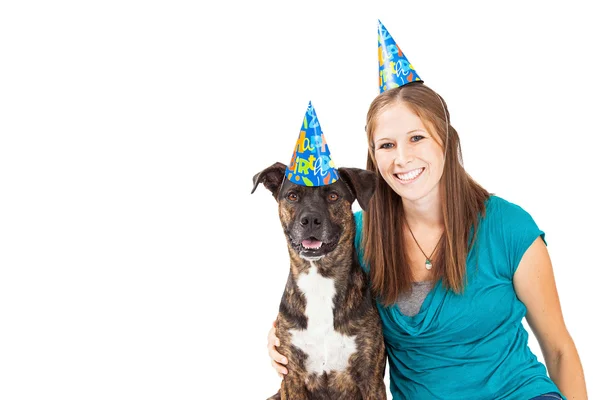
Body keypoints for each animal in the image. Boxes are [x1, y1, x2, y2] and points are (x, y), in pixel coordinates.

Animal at [252, 161, 384, 398]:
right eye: (292, 196)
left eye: (333, 196)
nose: (311, 220)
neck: (319, 280)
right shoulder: (291, 377)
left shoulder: (372, 379)